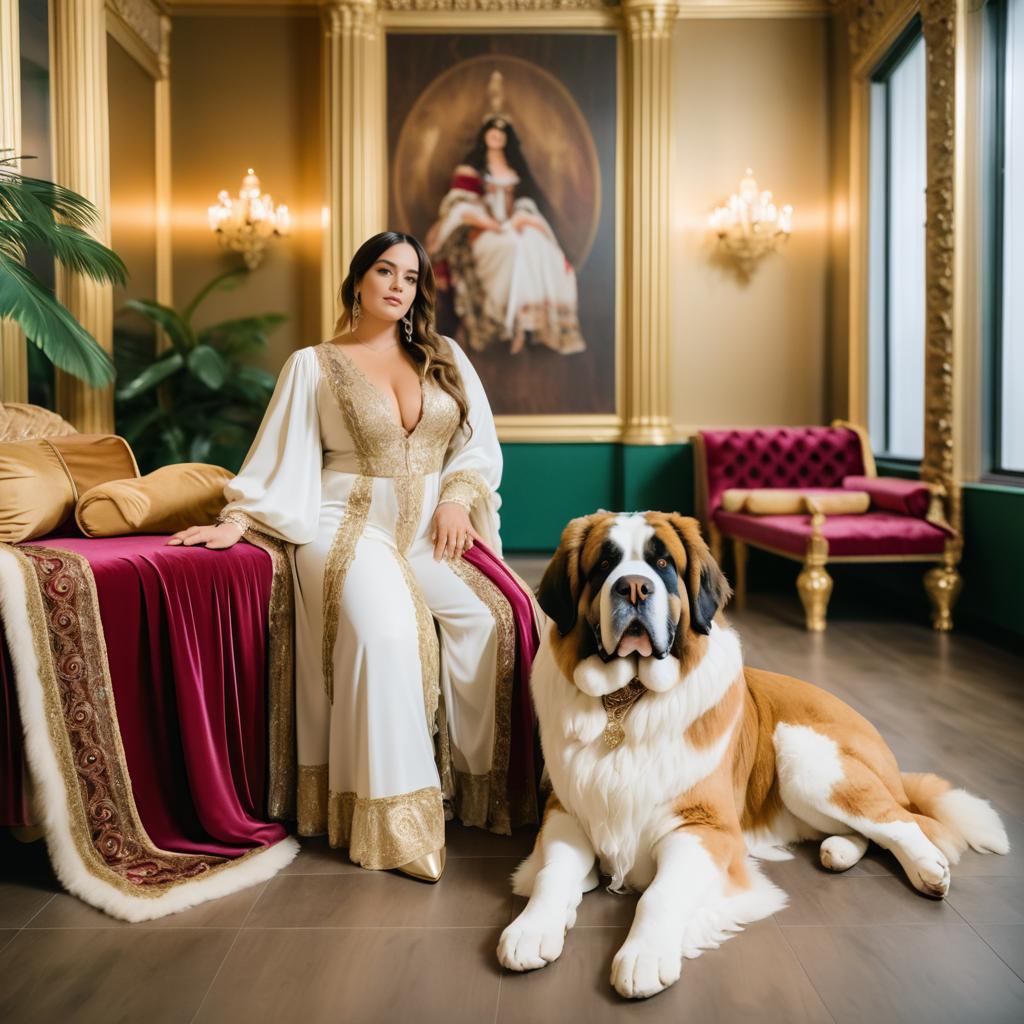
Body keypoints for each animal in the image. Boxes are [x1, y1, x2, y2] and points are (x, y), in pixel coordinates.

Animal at [495, 512, 1007, 999]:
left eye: (663, 564)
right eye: (604, 563)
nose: (635, 586)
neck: (628, 700)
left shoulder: (705, 828)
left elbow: (659, 894)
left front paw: (644, 956)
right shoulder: (567, 812)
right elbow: (553, 875)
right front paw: (531, 929)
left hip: (804, 758)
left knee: (900, 819)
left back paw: (927, 869)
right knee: (870, 829)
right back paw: (840, 850)